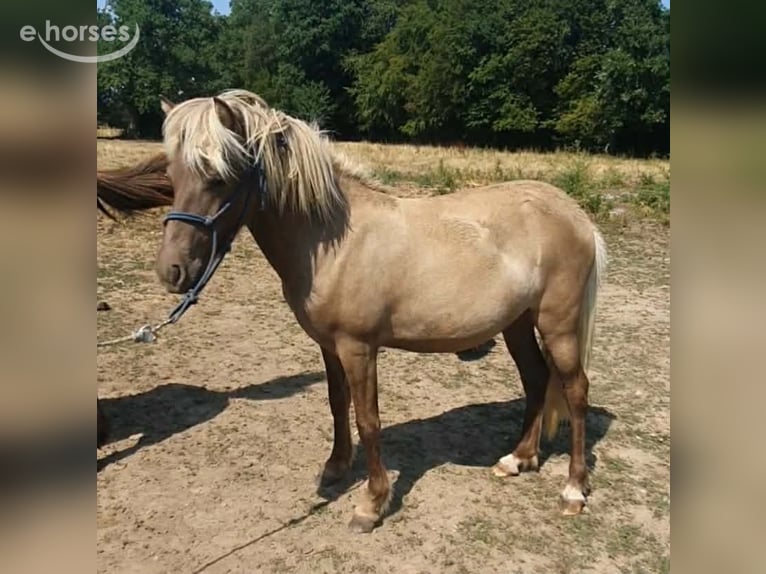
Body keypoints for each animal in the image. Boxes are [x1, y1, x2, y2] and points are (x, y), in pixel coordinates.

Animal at [122, 88, 607, 532]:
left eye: (220, 176)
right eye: (171, 174)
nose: (172, 271)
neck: (331, 240)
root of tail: (575, 214)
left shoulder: (359, 348)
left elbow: (367, 419)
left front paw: (371, 504)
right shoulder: (328, 346)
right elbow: (338, 405)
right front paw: (335, 468)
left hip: (559, 326)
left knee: (576, 392)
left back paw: (572, 490)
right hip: (517, 324)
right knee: (536, 379)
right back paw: (518, 459)